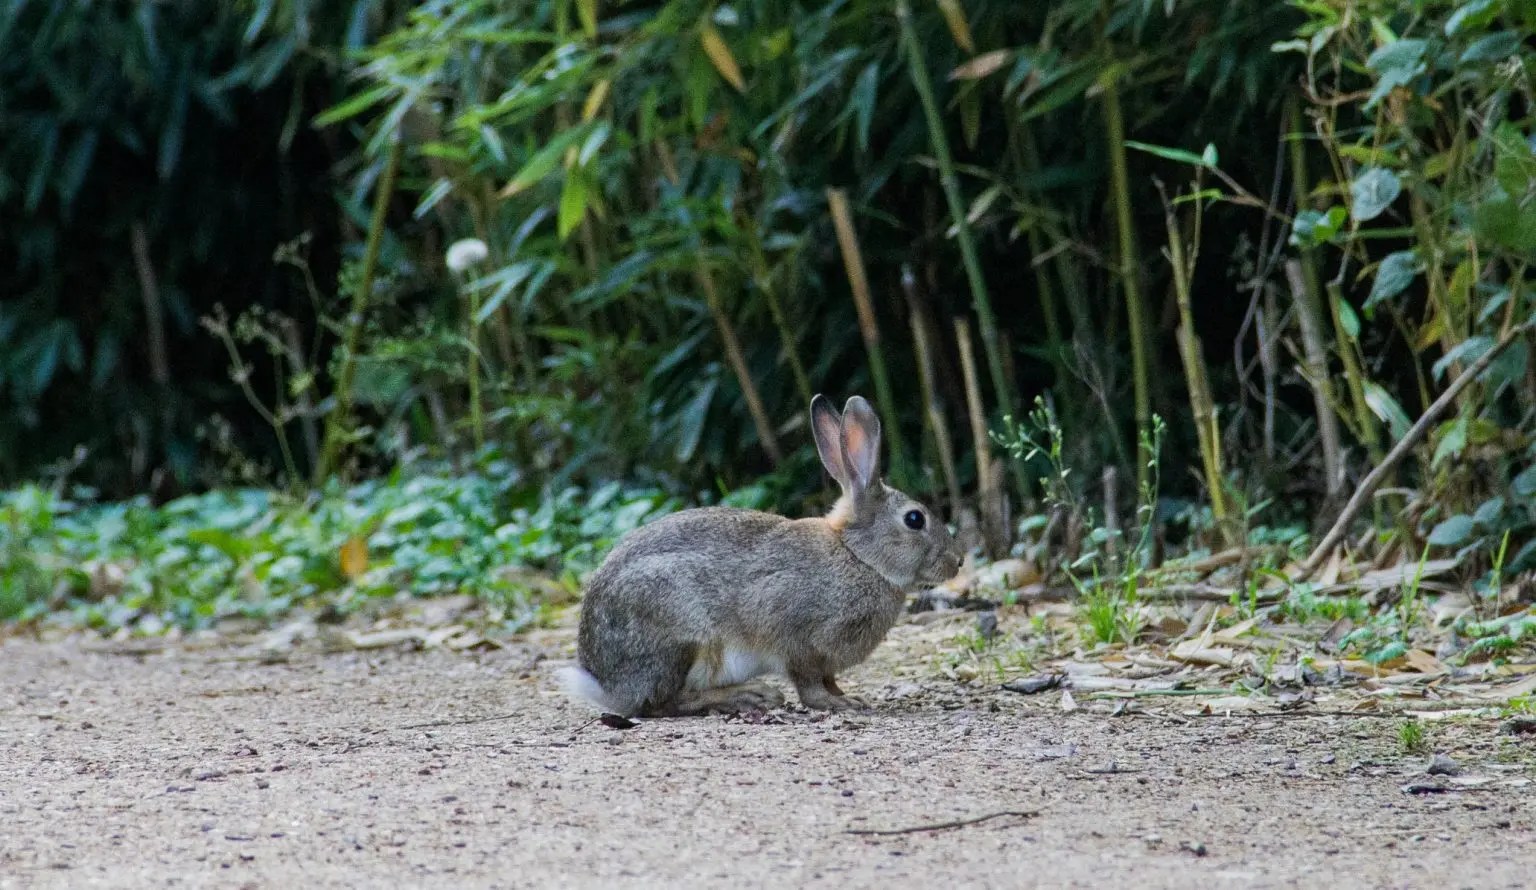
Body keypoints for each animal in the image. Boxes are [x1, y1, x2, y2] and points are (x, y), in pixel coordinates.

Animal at [560, 394, 963, 717]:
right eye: (915, 519)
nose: (957, 562)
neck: (857, 555)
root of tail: (608, 685)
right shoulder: (798, 640)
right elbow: (810, 685)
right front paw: (839, 704)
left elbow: (829, 679)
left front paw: (849, 697)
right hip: (682, 635)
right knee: (662, 703)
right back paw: (749, 695)